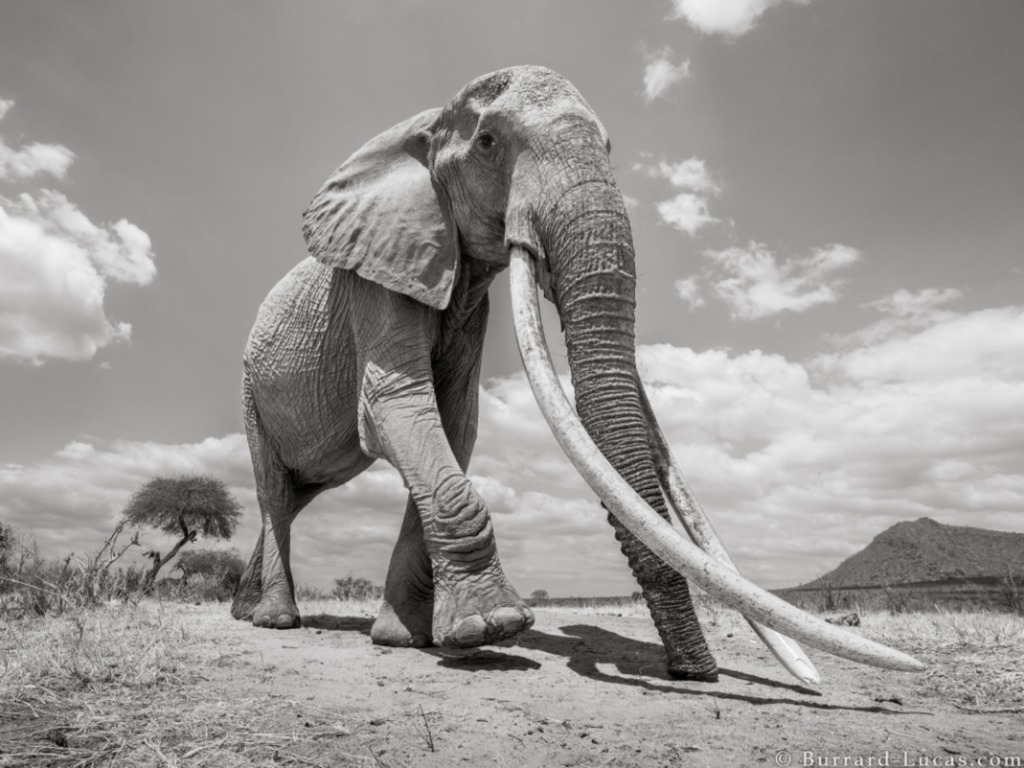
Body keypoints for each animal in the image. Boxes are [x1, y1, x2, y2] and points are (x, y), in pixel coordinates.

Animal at [234, 66, 929, 684]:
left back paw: (247, 611)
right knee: (274, 491)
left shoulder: (467, 301)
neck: (422, 127)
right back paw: (275, 621)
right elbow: (396, 409)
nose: (693, 673)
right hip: (248, 391)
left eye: (611, 148)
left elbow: (454, 425)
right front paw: (494, 627)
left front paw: (409, 639)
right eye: (489, 143)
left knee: (296, 495)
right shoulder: (376, 278)